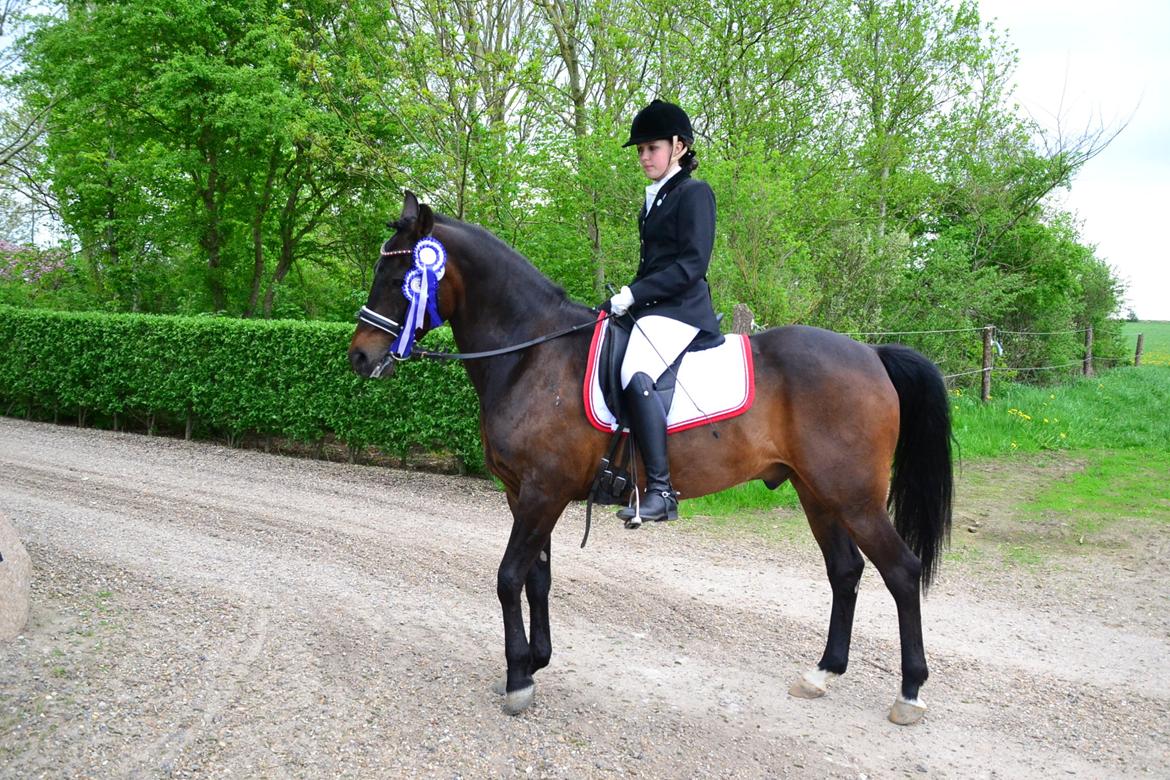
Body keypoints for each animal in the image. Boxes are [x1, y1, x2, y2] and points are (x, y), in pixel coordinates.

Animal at [348, 192, 953, 726]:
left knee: (901, 573)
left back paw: (909, 693)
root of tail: (871, 353)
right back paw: (822, 673)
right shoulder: (524, 493)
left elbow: (507, 576)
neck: (532, 355)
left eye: (396, 279)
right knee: (845, 571)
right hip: (817, 494)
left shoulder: (543, 492)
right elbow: (537, 578)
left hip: (854, 498)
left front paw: (519, 679)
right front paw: (536, 662)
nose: (359, 357)